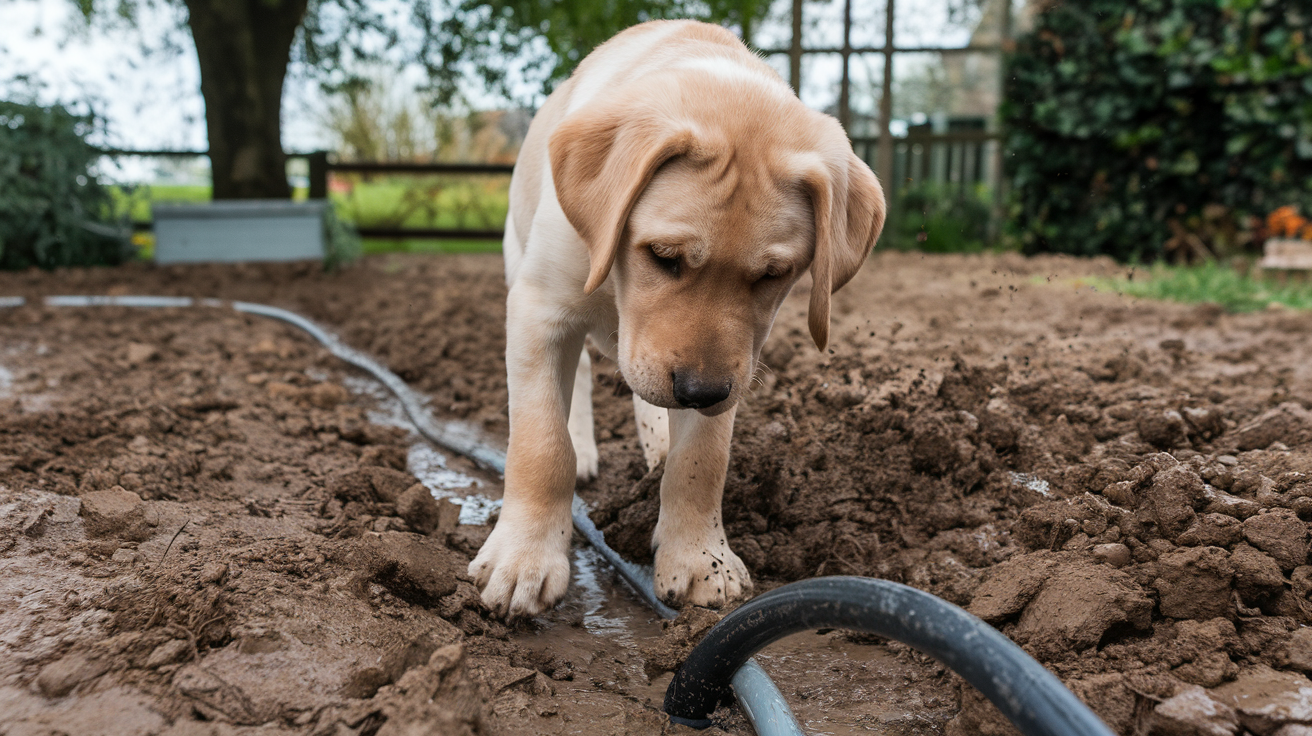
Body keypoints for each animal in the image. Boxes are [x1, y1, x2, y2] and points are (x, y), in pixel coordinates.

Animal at [467, 20, 886, 616]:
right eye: (663, 256)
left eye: (773, 275)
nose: (699, 391)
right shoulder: (538, 311)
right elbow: (541, 444)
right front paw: (523, 559)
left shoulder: (735, 361)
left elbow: (701, 462)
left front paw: (698, 559)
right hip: (519, 260)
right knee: (585, 382)